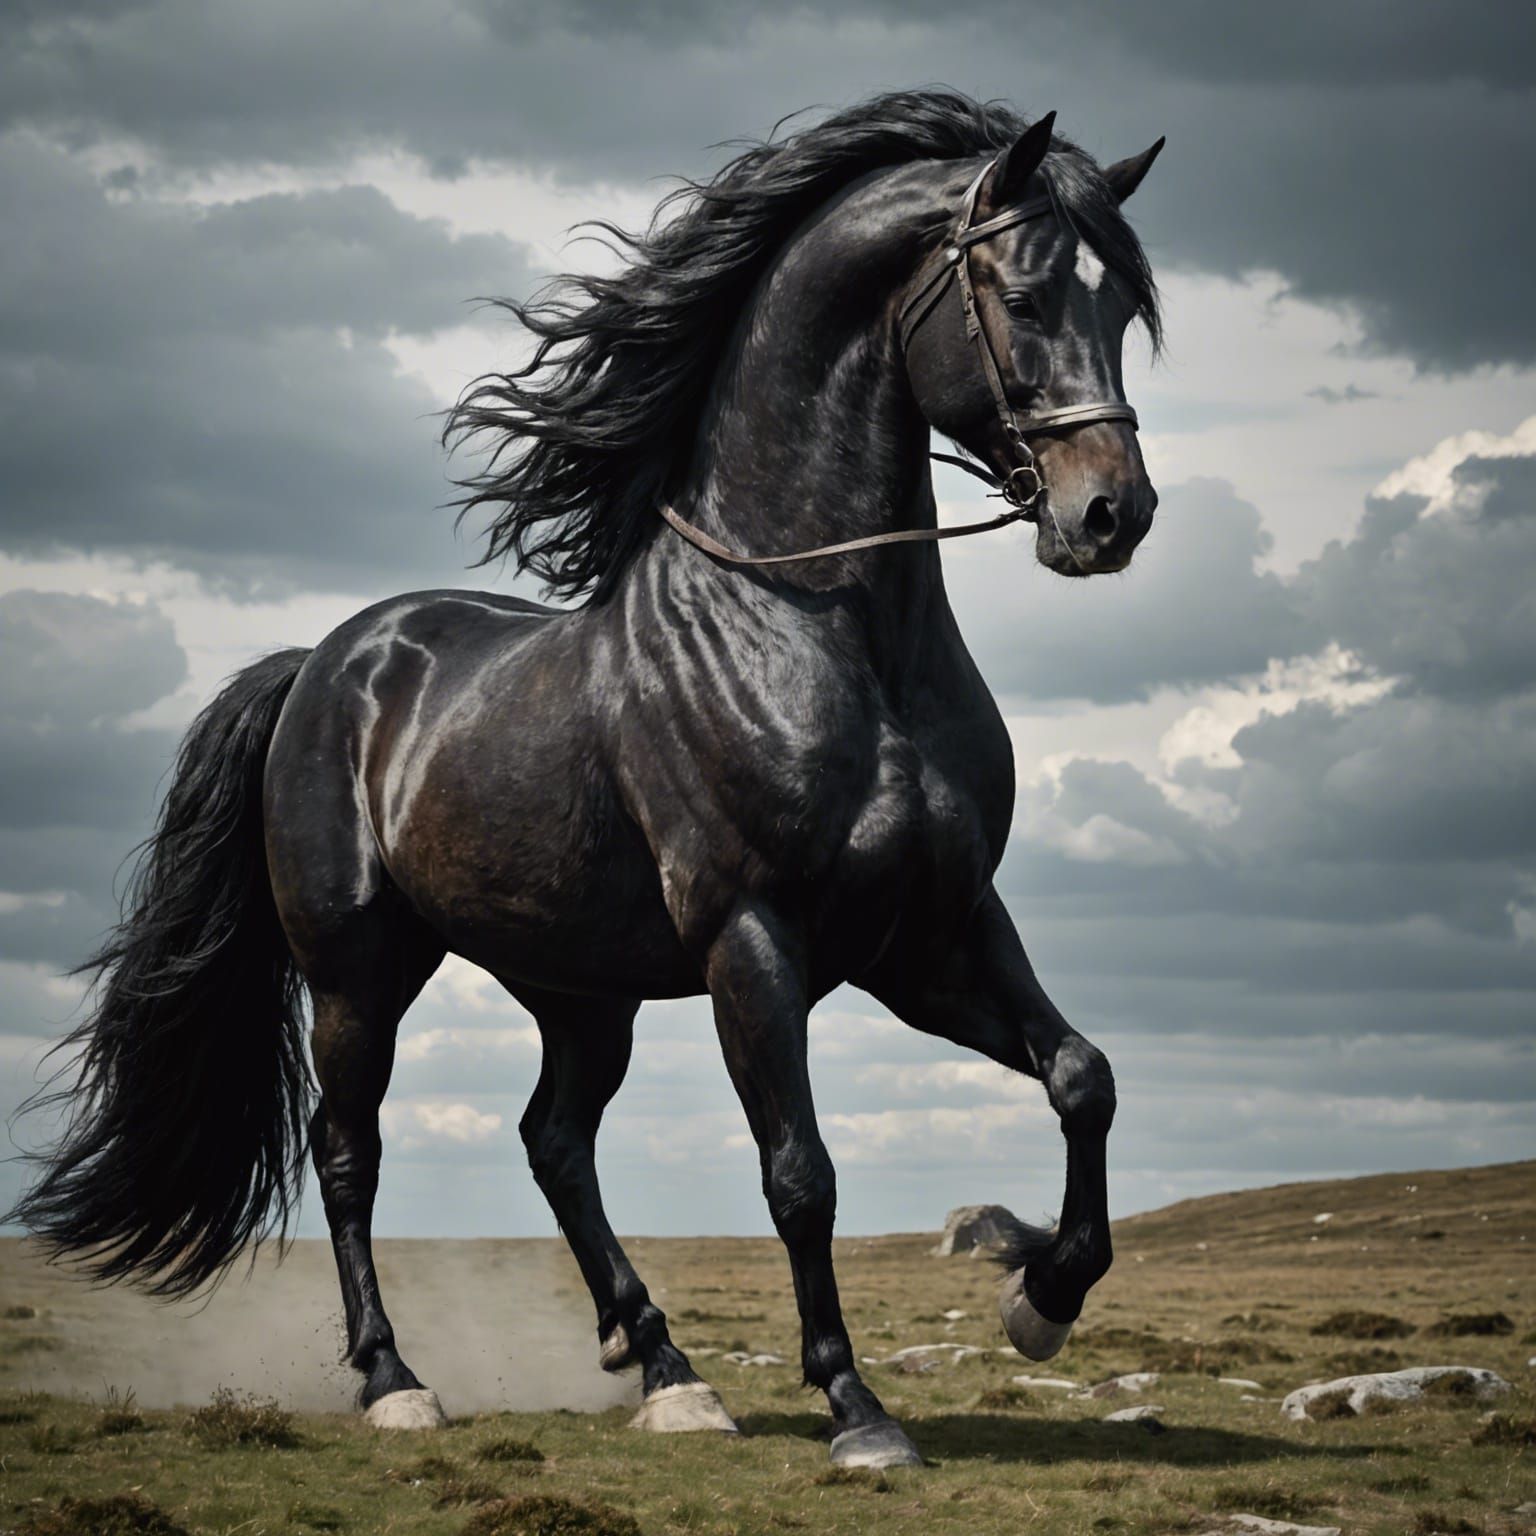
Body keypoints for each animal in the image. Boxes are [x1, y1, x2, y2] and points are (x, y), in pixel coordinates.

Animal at [11, 88, 1164, 1469]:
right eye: (1026, 293)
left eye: (1124, 307)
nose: (1112, 516)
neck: (823, 627)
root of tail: (322, 669)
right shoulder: (754, 939)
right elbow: (800, 1171)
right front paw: (857, 1409)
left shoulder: (930, 935)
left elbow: (1083, 1076)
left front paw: (1042, 1300)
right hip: (359, 973)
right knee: (350, 1155)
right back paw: (396, 1381)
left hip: (580, 990)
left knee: (554, 1143)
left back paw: (664, 1364)